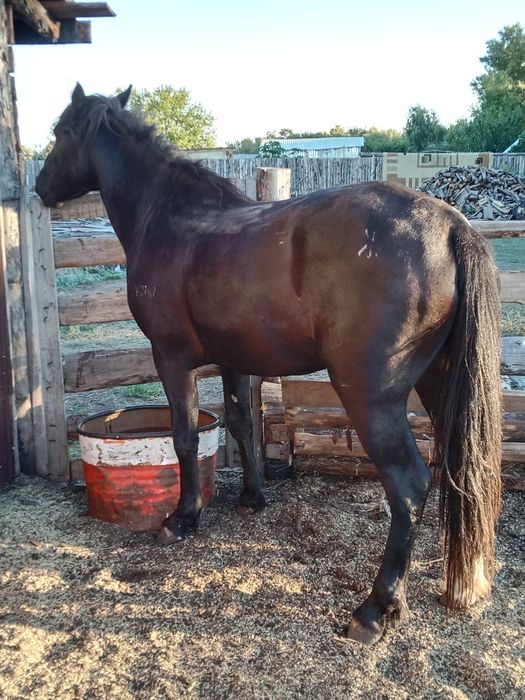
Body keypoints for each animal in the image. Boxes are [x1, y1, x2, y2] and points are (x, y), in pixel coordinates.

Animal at [36, 84, 502, 645]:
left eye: (61, 131)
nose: (39, 186)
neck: (170, 216)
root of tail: (451, 225)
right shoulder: (234, 359)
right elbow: (240, 421)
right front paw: (252, 497)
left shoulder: (171, 358)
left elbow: (185, 435)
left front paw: (182, 519)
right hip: (441, 384)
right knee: (460, 470)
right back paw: (462, 582)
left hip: (371, 396)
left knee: (408, 485)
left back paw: (376, 609)